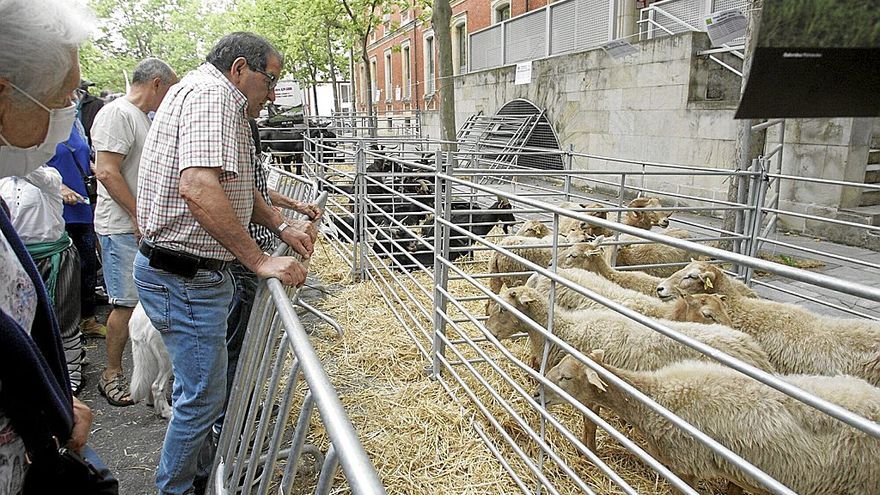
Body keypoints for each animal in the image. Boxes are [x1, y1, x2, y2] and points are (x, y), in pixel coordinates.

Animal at [488, 284, 776, 452]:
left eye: (502, 309)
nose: (489, 333)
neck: (563, 329)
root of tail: (756, 352)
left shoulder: (591, 391)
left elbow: (590, 424)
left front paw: (587, 451)